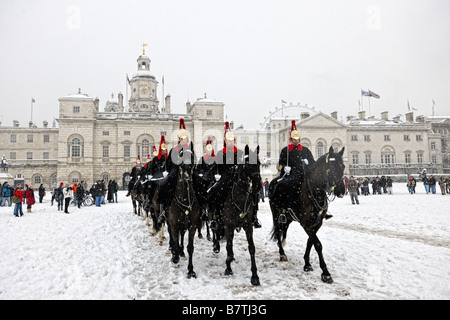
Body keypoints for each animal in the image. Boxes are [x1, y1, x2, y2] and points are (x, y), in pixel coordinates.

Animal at [214, 144, 262, 284]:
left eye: (259, 163)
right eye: (247, 164)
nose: (258, 186)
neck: (239, 199)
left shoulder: (248, 226)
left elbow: (251, 248)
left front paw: (255, 276)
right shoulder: (228, 226)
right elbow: (229, 247)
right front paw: (228, 268)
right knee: (215, 230)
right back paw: (216, 246)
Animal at [268, 146, 346, 284]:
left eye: (343, 167)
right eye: (331, 168)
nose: (341, 191)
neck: (315, 192)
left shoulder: (317, 223)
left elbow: (310, 241)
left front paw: (307, 264)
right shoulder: (306, 224)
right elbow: (318, 244)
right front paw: (325, 273)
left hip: (288, 217)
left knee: (284, 228)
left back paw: (282, 243)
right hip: (275, 214)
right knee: (278, 231)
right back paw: (282, 253)